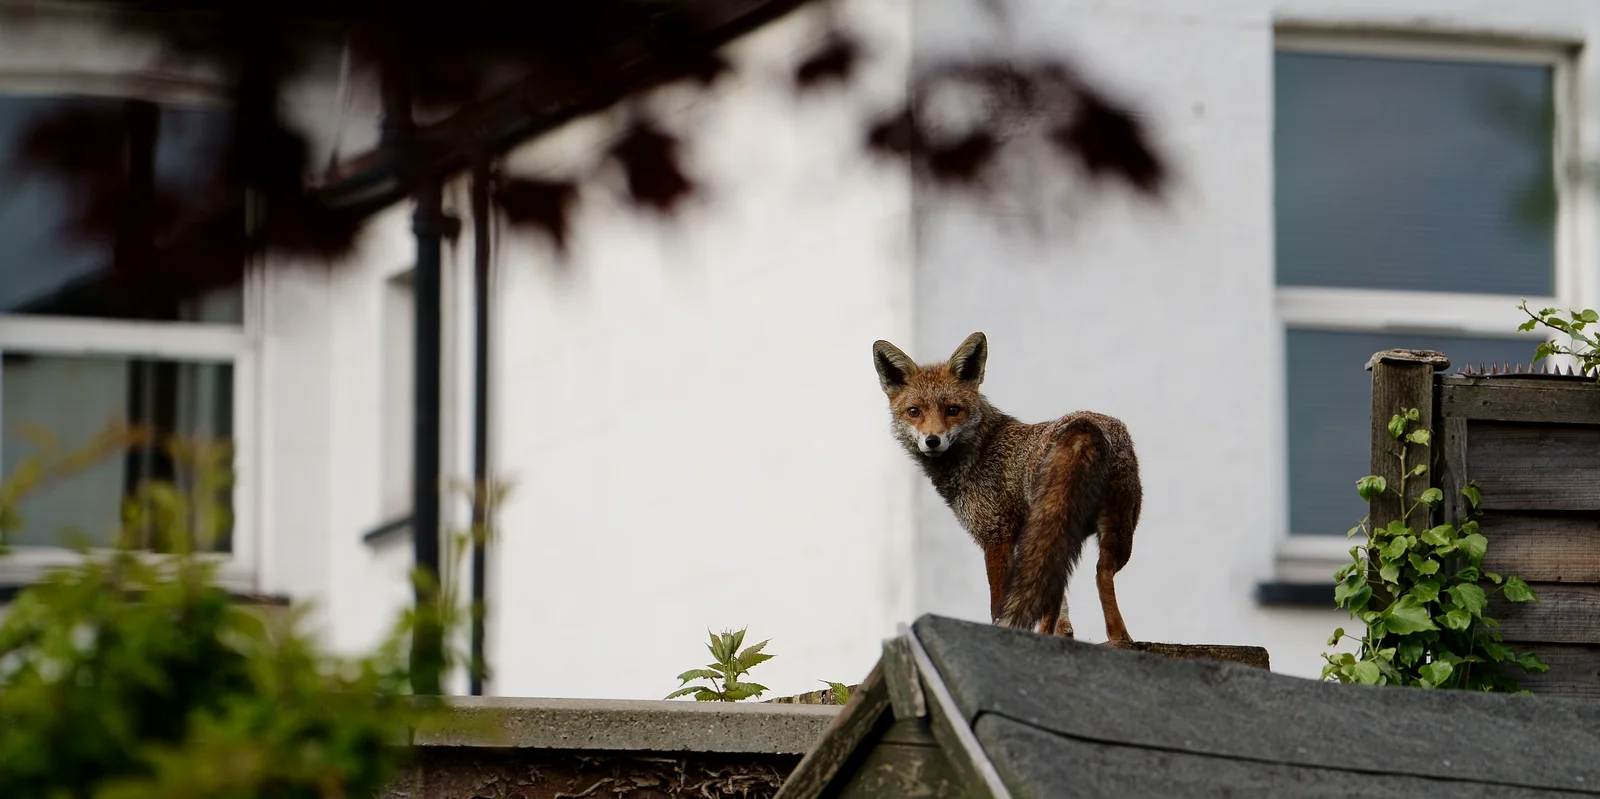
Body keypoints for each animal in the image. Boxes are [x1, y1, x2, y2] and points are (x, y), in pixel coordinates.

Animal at [872, 331, 1140, 644]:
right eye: (914, 412)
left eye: (953, 410)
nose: (932, 440)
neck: (980, 450)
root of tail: (1085, 424)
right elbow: (1062, 612)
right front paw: (1063, 634)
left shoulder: (996, 536)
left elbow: (998, 601)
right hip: (1105, 529)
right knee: (1099, 574)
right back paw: (1119, 638)